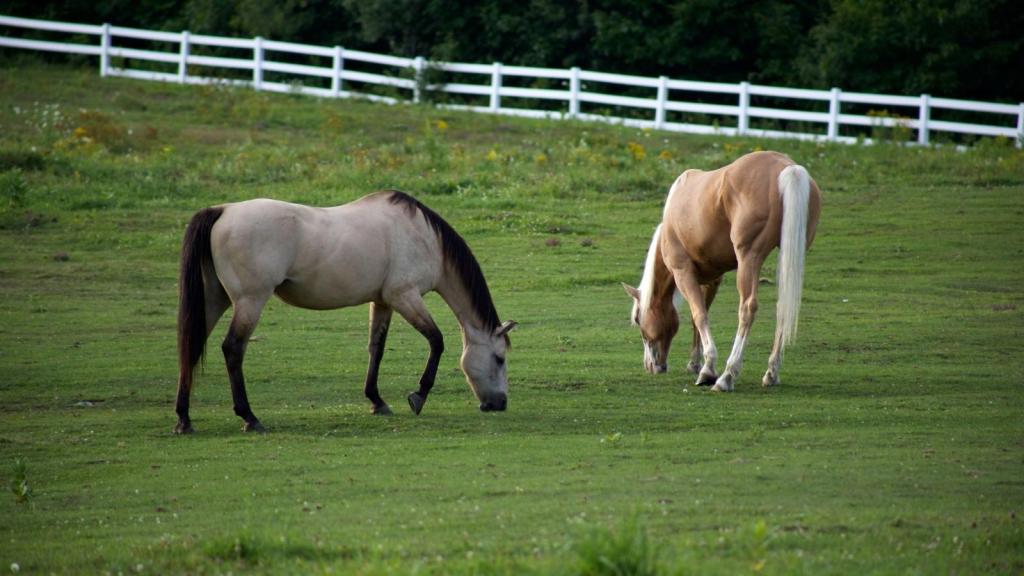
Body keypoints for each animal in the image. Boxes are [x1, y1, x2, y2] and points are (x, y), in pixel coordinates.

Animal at [175, 190, 516, 434]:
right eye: (499, 358)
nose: (500, 404)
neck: (424, 236)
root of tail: (222, 210)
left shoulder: (383, 302)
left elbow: (376, 348)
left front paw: (377, 401)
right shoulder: (404, 296)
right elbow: (437, 341)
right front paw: (418, 396)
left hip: (214, 299)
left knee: (191, 346)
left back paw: (184, 419)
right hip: (250, 301)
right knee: (233, 349)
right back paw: (249, 417)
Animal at [623, 151, 821, 391]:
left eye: (637, 319)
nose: (651, 366)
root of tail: (787, 167)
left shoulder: (683, 273)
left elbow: (699, 315)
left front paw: (708, 370)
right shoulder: (712, 279)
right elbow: (698, 316)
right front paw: (694, 363)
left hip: (749, 259)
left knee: (747, 309)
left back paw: (727, 376)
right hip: (788, 256)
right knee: (783, 307)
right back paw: (771, 373)